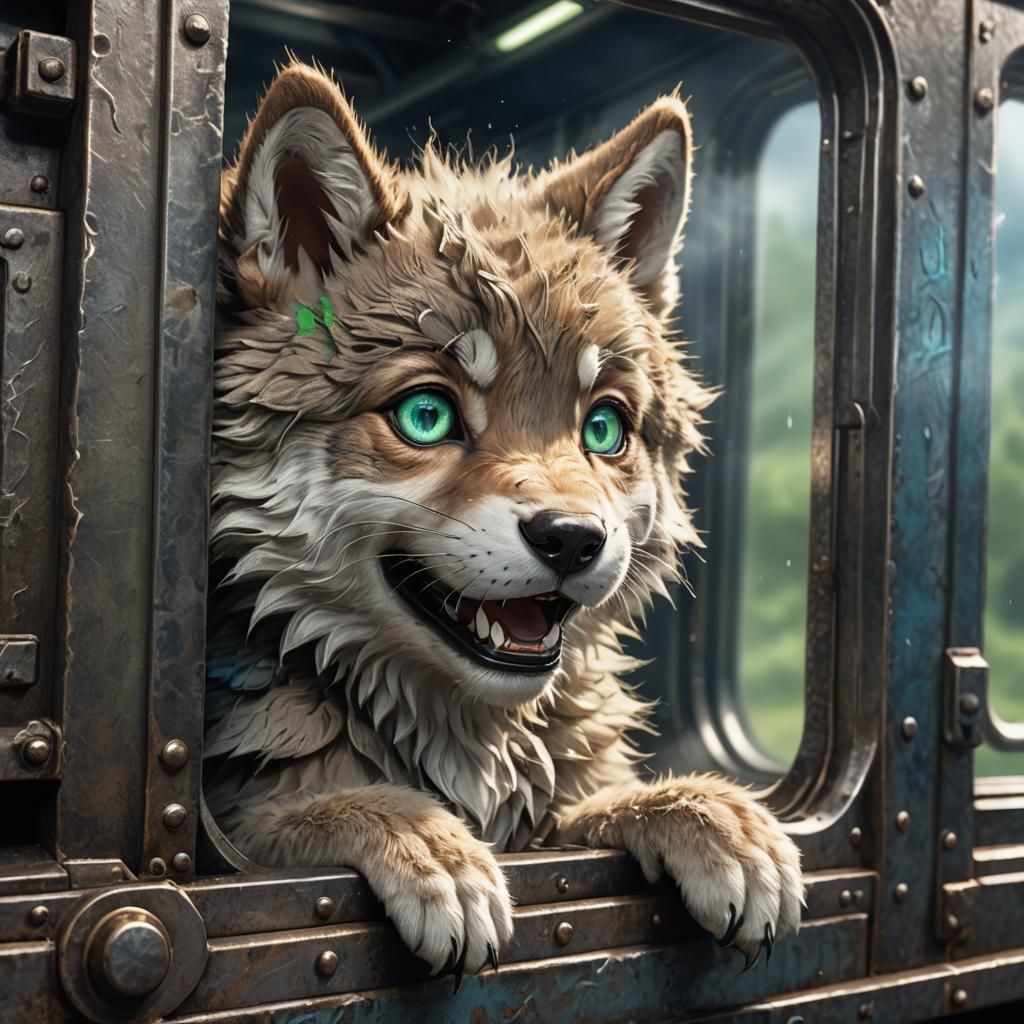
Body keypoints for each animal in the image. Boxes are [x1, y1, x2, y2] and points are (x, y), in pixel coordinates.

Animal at [204, 60, 803, 979]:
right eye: (425, 416)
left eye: (605, 429)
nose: (573, 538)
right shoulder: (233, 831)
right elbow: (299, 817)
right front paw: (424, 839)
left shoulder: (557, 803)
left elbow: (598, 806)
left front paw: (706, 809)